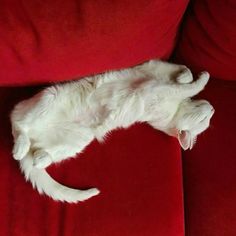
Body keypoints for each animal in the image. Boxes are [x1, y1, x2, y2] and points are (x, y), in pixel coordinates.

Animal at [10, 60, 214, 203]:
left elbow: (185, 81)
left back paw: (37, 157)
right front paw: (195, 77)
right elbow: (188, 78)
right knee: (17, 123)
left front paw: (185, 78)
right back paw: (19, 147)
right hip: (49, 98)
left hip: (80, 138)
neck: (175, 109)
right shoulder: (157, 72)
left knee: (38, 154)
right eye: (205, 120)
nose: (212, 110)